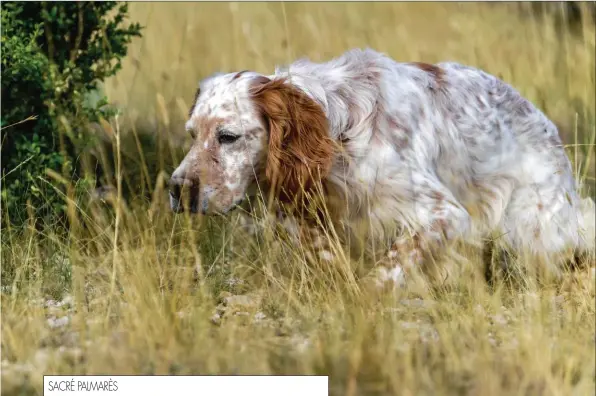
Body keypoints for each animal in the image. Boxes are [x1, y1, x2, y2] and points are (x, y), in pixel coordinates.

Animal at [169, 48, 596, 288]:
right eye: (191, 134)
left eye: (228, 136)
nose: (177, 190)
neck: (339, 133)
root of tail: (546, 126)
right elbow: (325, 252)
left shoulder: (443, 214)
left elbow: (390, 265)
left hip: (532, 226)